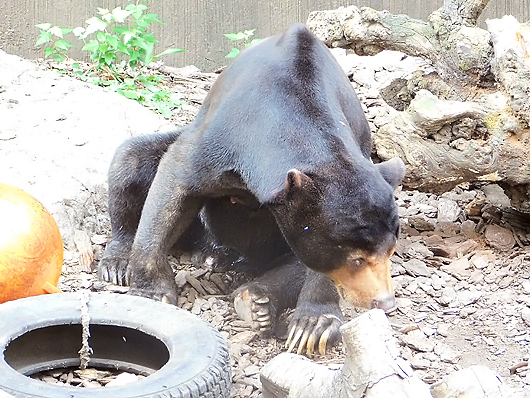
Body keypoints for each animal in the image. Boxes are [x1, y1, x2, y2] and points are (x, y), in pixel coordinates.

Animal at [98, 23, 404, 356]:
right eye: (357, 259)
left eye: (391, 251)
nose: (384, 302)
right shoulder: (220, 141)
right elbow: (171, 188)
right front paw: (153, 294)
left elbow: (313, 263)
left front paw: (313, 326)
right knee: (130, 160)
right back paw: (118, 262)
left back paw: (256, 300)